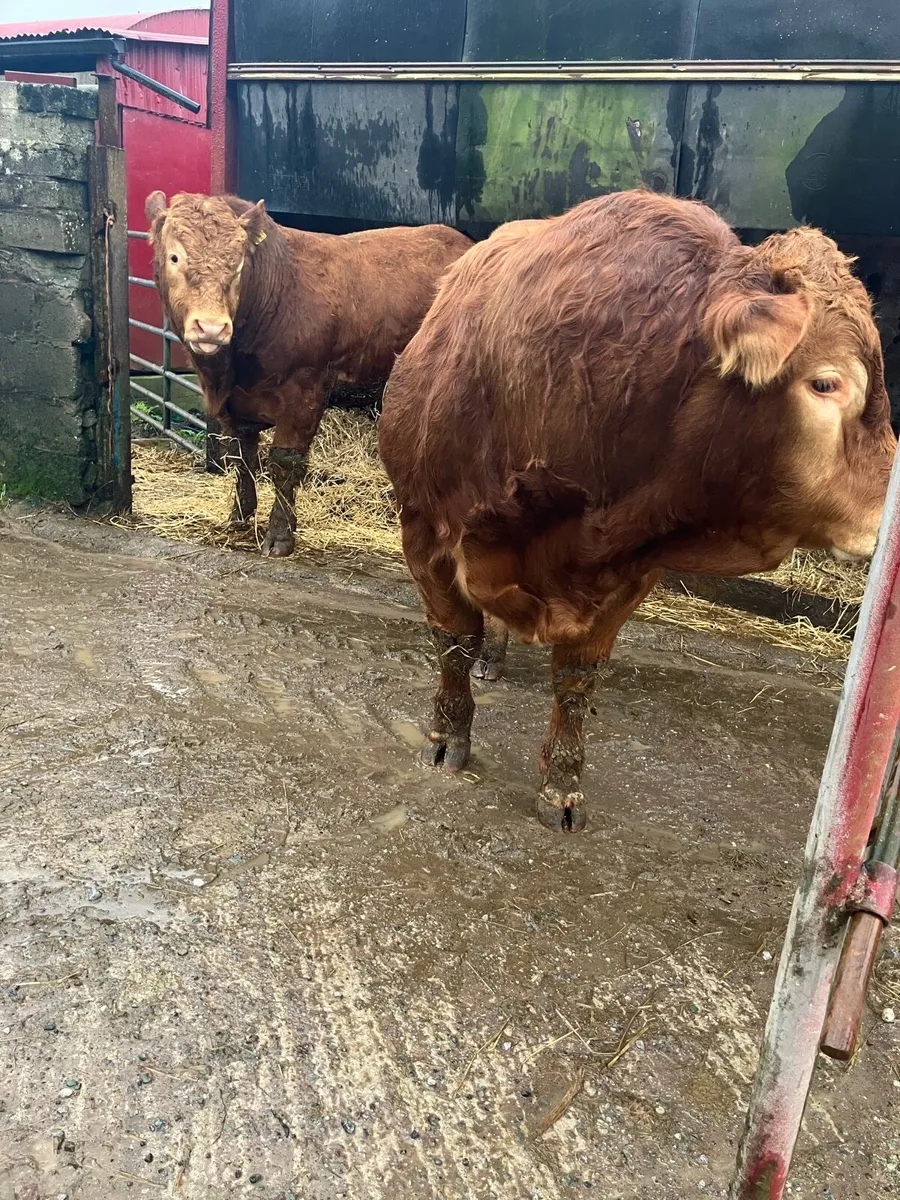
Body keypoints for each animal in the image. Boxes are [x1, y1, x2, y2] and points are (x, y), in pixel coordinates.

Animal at [145, 191, 472, 557]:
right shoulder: (235, 405)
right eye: (174, 257)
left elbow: (284, 463)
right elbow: (242, 458)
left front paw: (279, 535)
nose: (212, 328)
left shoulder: (304, 393)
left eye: (239, 264)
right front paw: (239, 515)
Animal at [379, 189, 896, 834]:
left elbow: (576, 680)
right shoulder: (425, 531)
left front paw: (562, 786)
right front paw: (448, 736)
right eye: (827, 383)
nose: (889, 515)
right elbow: (453, 644)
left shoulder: (627, 574)